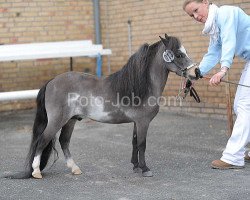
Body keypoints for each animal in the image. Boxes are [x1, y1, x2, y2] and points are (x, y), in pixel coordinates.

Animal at [3, 33, 195, 179]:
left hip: (71, 120)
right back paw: (36, 172)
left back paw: (75, 169)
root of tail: (51, 82)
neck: (141, 85)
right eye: (178, 54)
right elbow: (142, 144)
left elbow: (134, 143)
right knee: (42, 140)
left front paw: (135, 166)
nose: (196, 72)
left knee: (64, 141)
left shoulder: (136, 122)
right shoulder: (143, 122)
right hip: (58, 120)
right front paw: (145, 169)